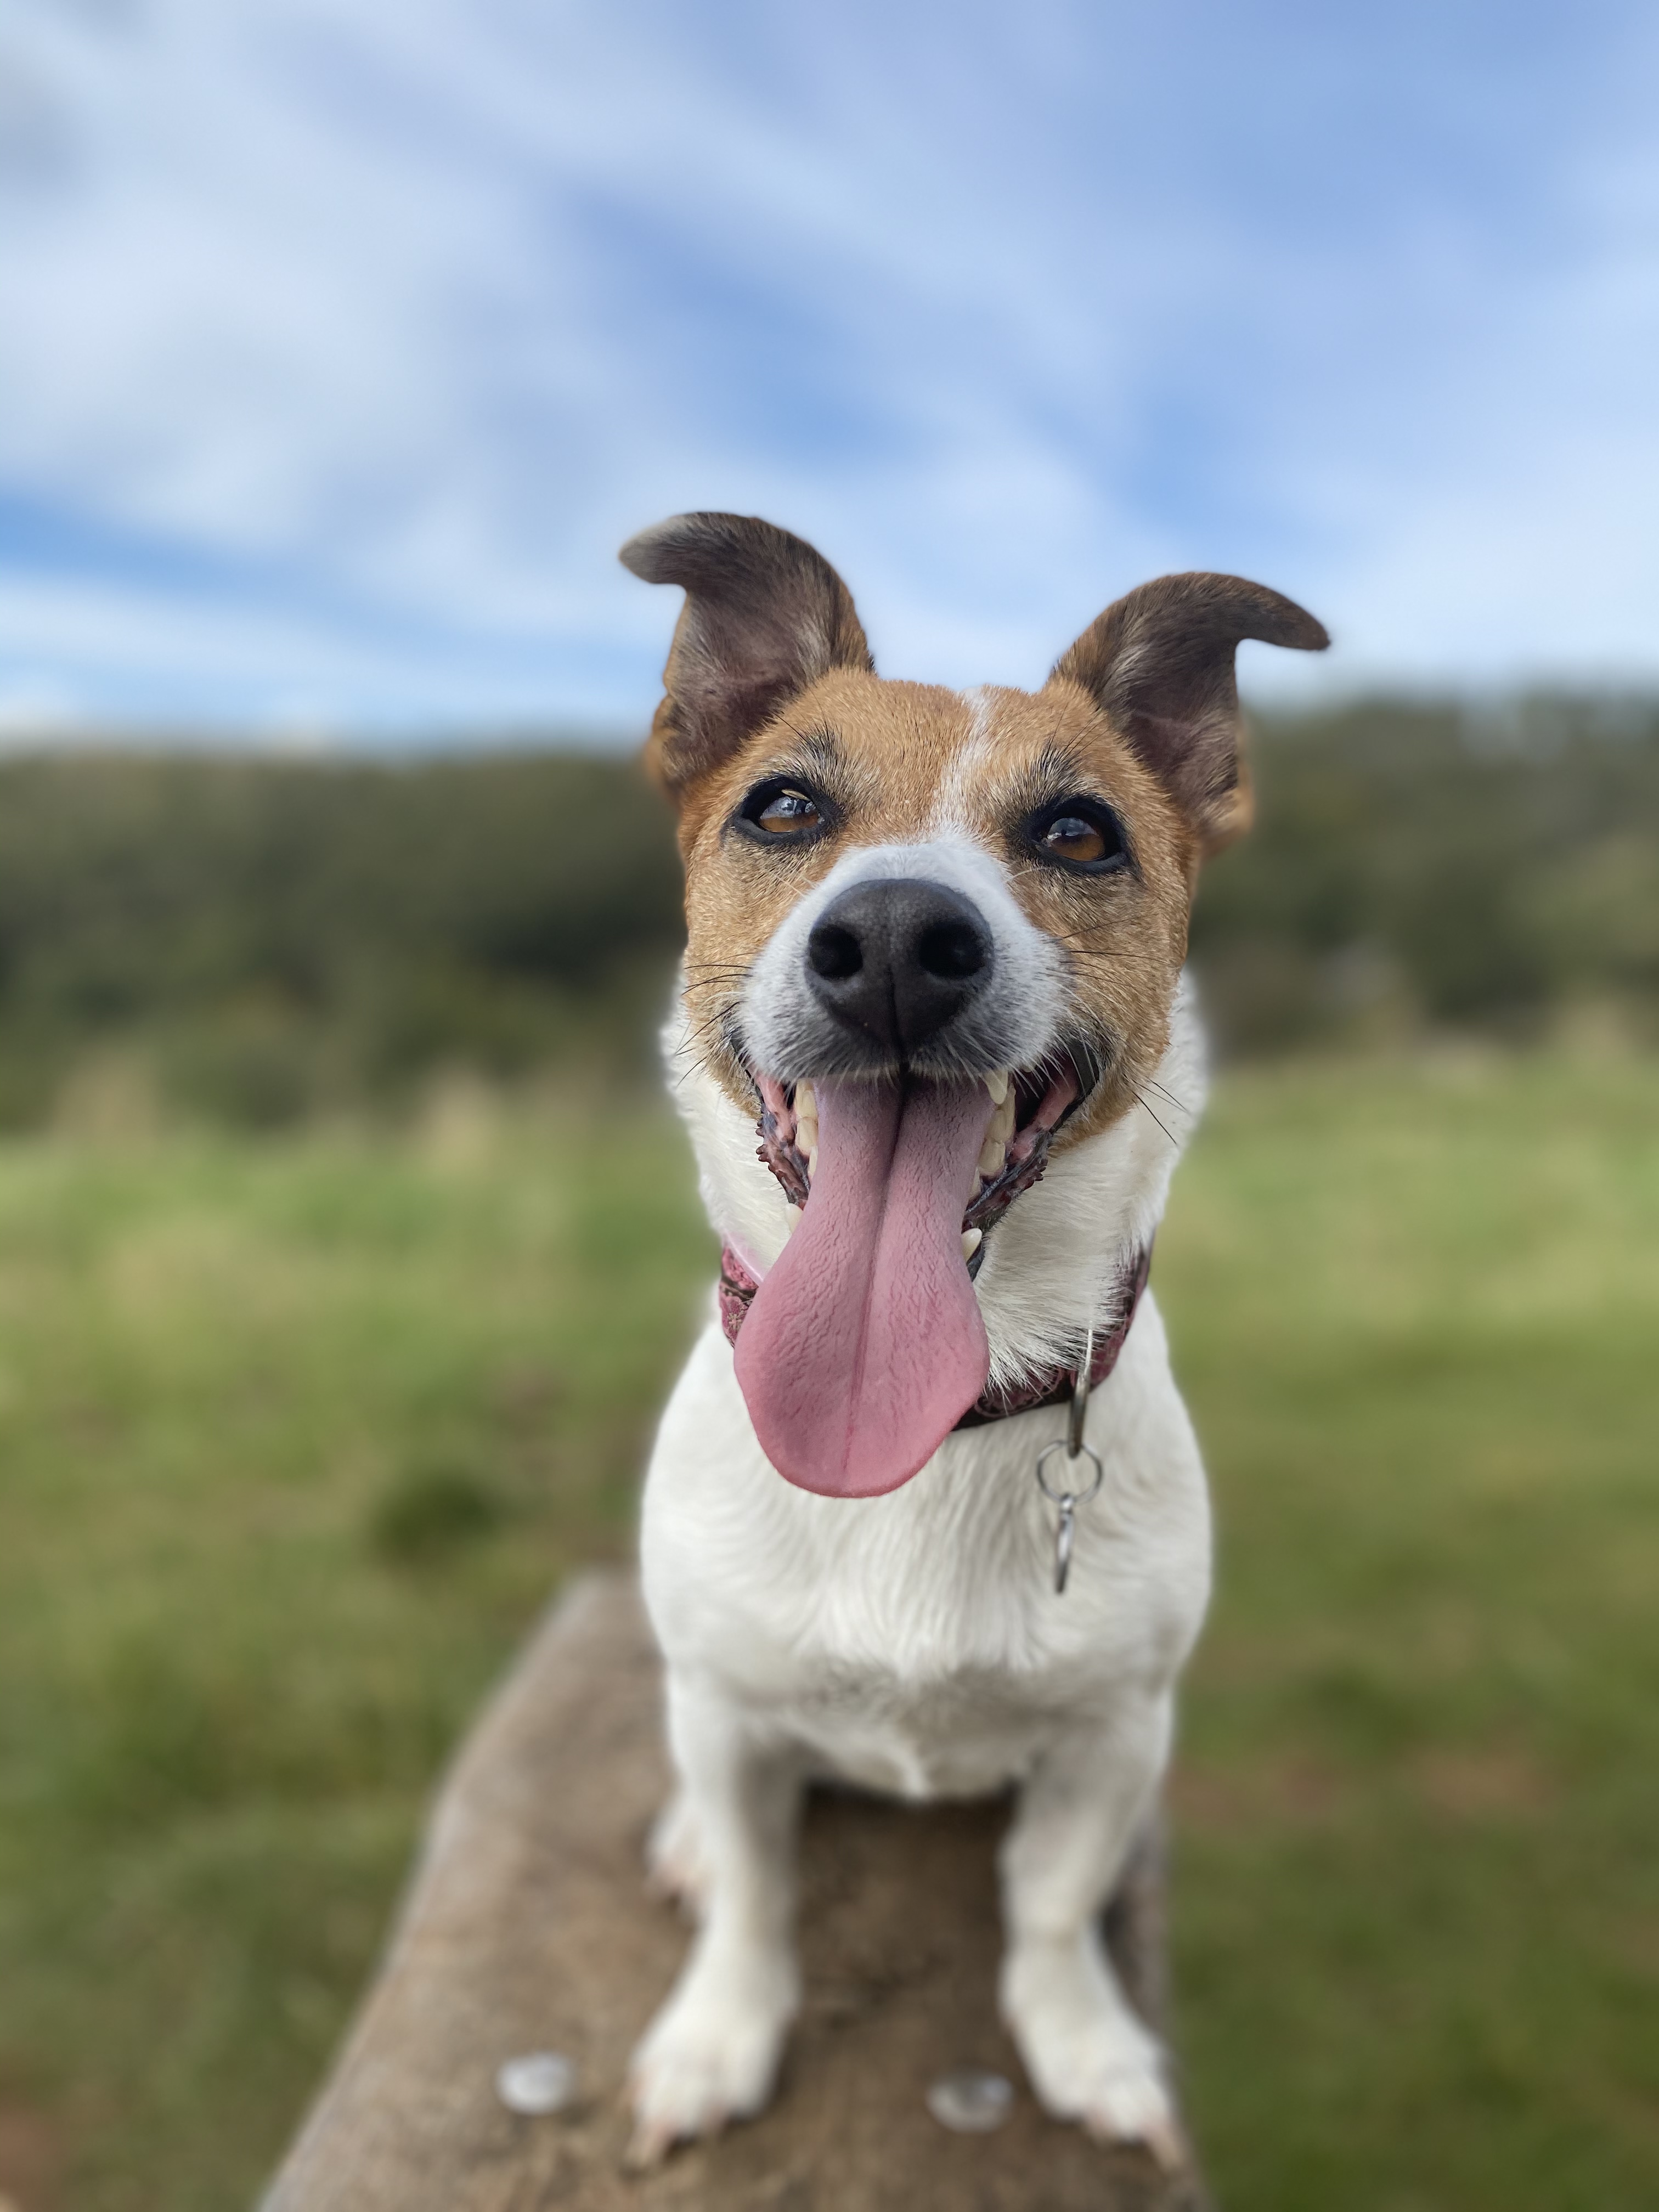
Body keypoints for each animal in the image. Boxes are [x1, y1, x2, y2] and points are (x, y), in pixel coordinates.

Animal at [619, 513, 1336, 2159]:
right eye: (785, 806)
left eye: (1078, 835)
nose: (893, 938)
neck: (927, 1435)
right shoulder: (733, 1721)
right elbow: (755, 1899)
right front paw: (717, 2037)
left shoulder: (1111, 1734)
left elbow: (1050, 1909)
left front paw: (1082, 2043)